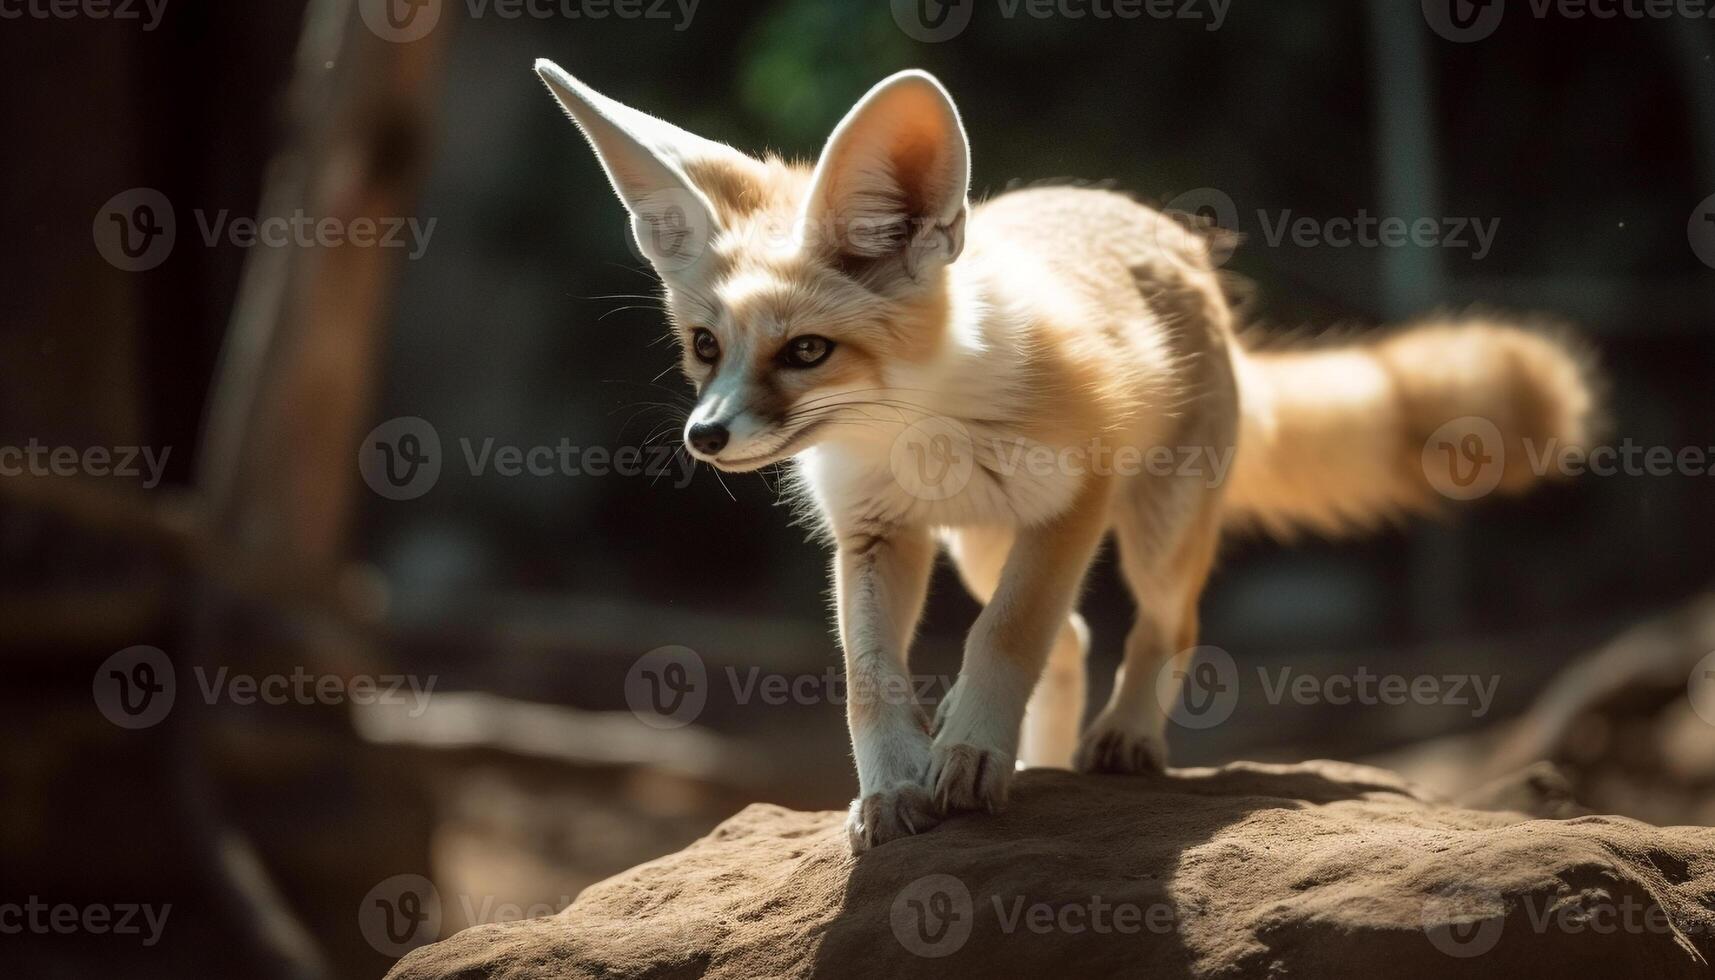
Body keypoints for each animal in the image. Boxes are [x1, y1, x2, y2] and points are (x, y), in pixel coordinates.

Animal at [531, 65, 1591, 854]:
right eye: (705, 345)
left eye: (806, 352)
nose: (703, 438)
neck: (919, 429)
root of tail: (1167, 236)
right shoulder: (876, 536)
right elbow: (872, 678)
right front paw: (897, 786)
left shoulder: (1069, 506)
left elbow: (1003, 639)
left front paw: (966, 756)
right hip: (976, 546)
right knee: (1077, 637)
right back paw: (1035, 760)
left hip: (1148, 531)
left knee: (1164, 625)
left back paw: (1119, 740)